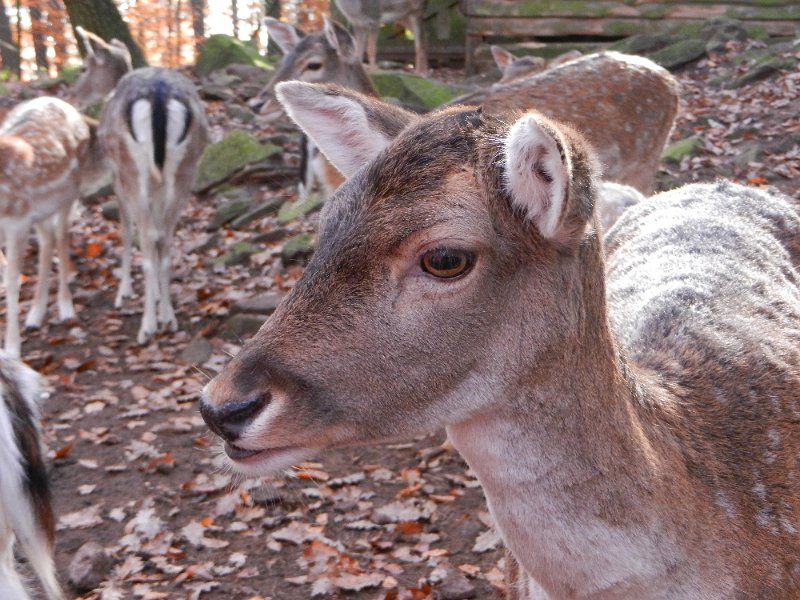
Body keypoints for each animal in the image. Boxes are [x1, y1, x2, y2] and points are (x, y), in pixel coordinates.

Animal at [0, 97, 106, 356]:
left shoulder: (17, 223)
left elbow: (12, 281)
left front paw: (12, 349)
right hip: (41, 210)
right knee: (48, 240)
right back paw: (35, 315)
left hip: (69, 193)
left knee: (61, 235)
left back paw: (66, 307)